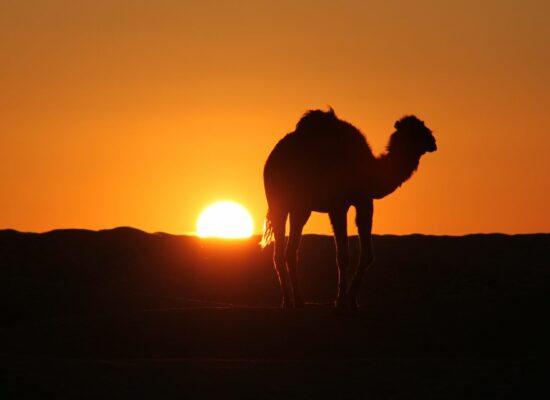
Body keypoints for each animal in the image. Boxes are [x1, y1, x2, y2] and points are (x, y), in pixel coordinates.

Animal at [260, 108, 438, 310]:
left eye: (422, 125)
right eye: (415, 130)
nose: (433, 141)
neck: (369, 171)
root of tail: (271, 160)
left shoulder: (364, 201)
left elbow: (367, 255)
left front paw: (352, 300)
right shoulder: (338, 206)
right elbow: (343, 256)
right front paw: (340, 301)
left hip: (301, 208)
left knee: (290, 251)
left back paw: (297, 300)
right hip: (279, 203)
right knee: (280, 251)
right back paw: (289, 301)